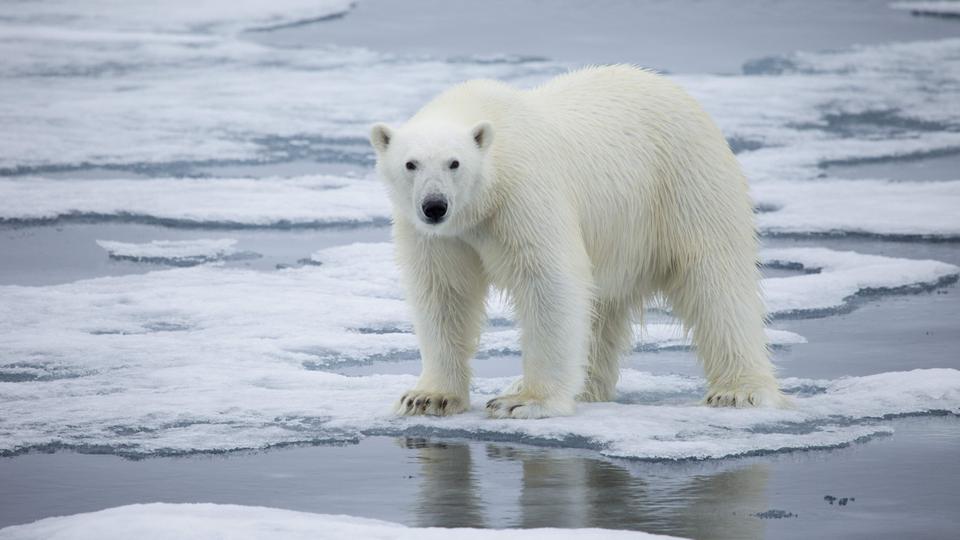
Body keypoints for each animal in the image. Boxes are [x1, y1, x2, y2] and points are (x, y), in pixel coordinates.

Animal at [370, 65, 785, 419]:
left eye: (454, 163)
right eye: (411, 164)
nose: (434, 206)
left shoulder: (524, 195)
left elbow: (549, 282)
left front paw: (524, 401)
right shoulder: (436, 235)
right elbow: (442, 292)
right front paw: (427, 397)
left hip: (684, 184)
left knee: (715, 280)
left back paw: (738, 391)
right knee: (601, 308)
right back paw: (585, 387)